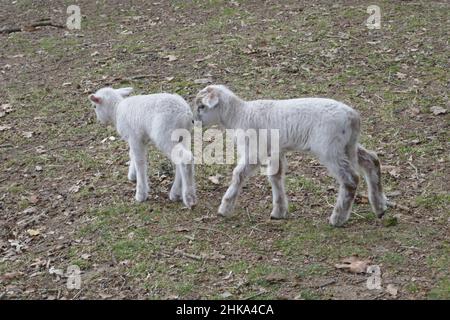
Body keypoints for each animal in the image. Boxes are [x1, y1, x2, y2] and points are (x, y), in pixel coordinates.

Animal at [192, 84, 386, 226]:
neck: (238, 115)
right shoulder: (275, 151)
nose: (194, 121)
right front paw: (279, 211)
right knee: (372, 160)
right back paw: (380, 207)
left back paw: (337, 218)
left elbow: (238, 174)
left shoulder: (255, 150)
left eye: (202, 106)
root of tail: (353, 117)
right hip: (346, 145)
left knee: (351, 179)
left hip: (329, 148)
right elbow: (275, 177)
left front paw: (225, 208)